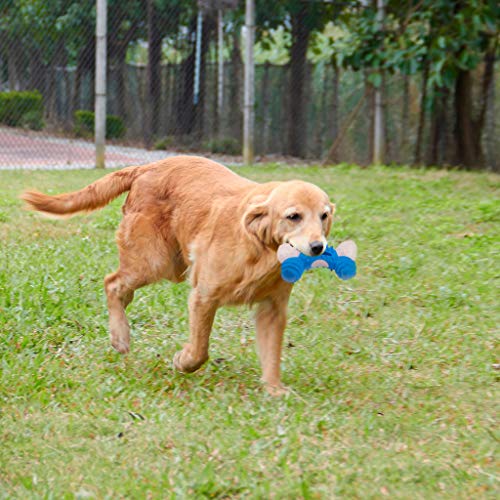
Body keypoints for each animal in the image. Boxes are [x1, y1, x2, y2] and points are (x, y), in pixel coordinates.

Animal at [22, 156, 336, 394]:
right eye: (293, 216)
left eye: (324, 216)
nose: (318, 247)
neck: (260, 247)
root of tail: (147, 167)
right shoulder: (204, 296)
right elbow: (200, 350)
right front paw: (182, 361)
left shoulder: (272, 309)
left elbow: (272, 353)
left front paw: (274, 390)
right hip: (154, 261)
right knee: (112, 283)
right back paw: (120, 336)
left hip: (169, 264)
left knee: (122, 289)